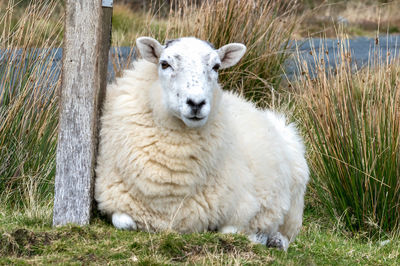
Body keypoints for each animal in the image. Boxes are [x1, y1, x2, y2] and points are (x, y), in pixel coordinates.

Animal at [94, 36, 310, 250]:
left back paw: (276, 240)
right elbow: (123, 222)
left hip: (294, 200)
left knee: (289, 232)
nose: (196, 103)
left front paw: (257, 237)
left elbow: (230, 231)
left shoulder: (243, 207)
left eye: (216, 66)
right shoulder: (116, 201)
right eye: (164, 64)